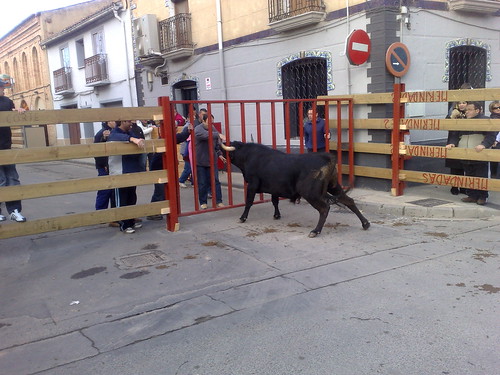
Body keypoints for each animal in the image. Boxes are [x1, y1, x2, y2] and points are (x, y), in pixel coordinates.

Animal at [221, 141, 370, 238]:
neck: (248, 156)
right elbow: (275, 201)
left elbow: (249, 202)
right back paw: (365, 223)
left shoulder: (252, 185)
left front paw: (242, 218)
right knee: (349, 200)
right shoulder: (274, 188)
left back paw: (315, 231)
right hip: (333, 187)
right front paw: (277, 215)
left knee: (324, 208)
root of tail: (326, 157)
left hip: (310, 193)